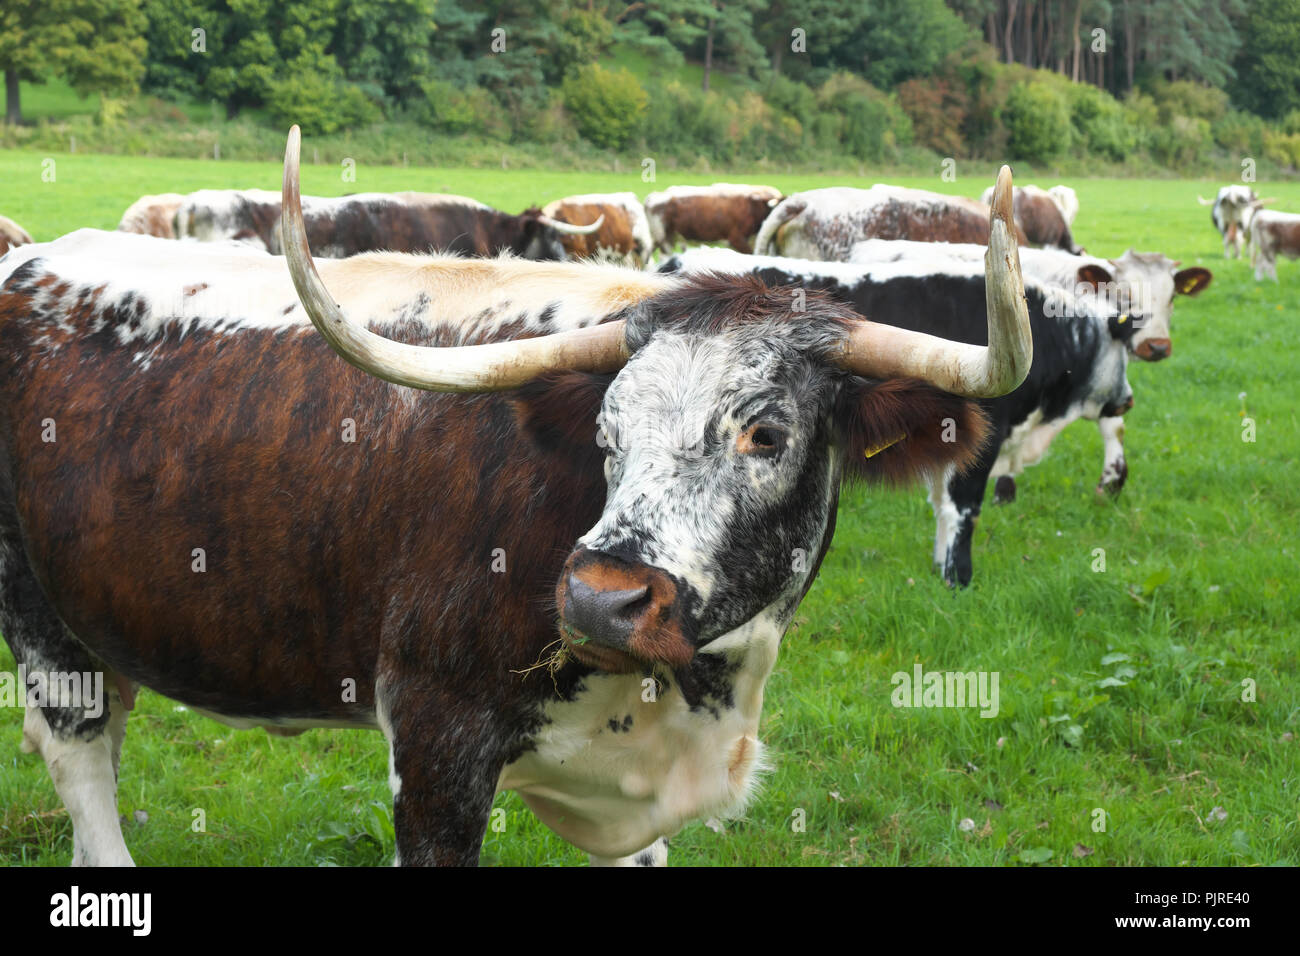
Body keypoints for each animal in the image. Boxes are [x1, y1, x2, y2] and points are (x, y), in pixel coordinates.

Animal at [660, 244, 1138, 590]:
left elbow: (942, 506)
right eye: (1124, 349)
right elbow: (963, 510)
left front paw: (941, 567)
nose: (1127, 400)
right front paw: (958, 578)